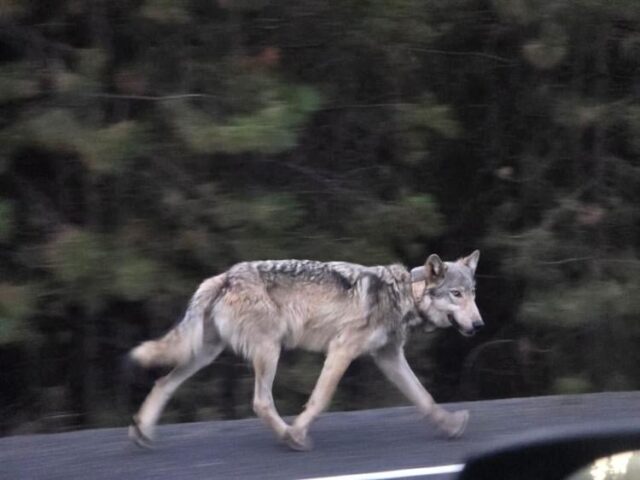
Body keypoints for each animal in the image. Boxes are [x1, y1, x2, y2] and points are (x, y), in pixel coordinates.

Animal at [127, 250, 483, 451]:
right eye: (456, 294)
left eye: (473, 294)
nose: (480, 324)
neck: (404, 293)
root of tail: (223, 277)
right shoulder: (341, 350)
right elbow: (320, 400)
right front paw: (297, 432)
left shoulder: (389, 357)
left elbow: (425, 398)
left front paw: (451, 426)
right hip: (269, 350)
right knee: (260, 402)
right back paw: (288, 437)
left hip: (206, 353)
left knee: (163, 383)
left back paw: (142, 431)